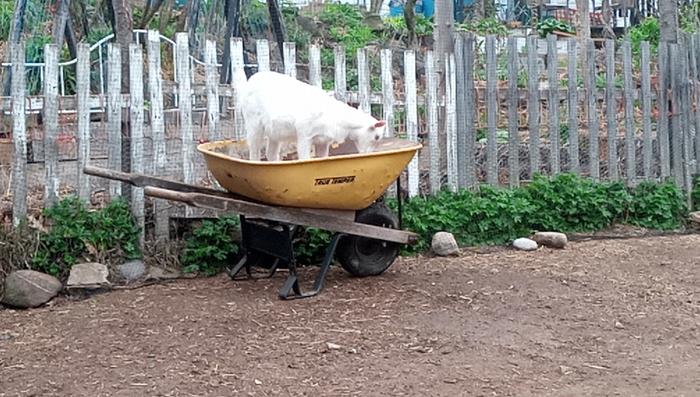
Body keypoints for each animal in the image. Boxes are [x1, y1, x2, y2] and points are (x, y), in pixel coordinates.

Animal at [238, 71, 386, 161]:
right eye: (376, 137)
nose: (368, 155)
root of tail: (250, 81)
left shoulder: (323, 141)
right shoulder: (304, 135)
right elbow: (304, 159)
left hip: (274, 131)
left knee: (271, 153)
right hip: (253, 124)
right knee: (254, 150)